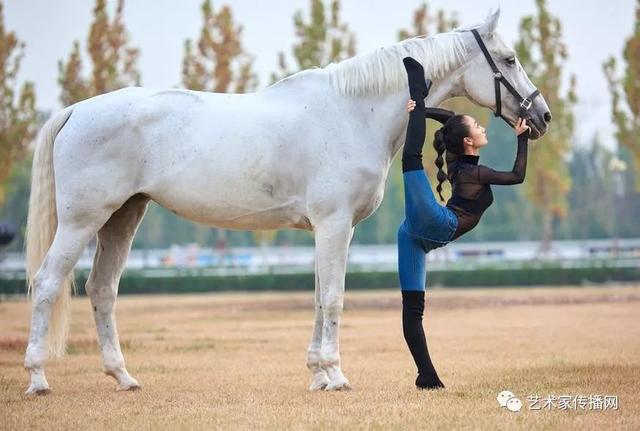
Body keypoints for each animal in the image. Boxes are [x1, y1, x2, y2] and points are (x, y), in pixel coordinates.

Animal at [24, 9, 550, 394]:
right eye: (508, 59)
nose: (541, 116)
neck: (354, 112)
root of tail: (76, 110)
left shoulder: (329, 229)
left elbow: (318, 296)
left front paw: (318, 375)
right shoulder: (335, 224)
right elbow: (334, 297)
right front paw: (336, 376)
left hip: (123, 216)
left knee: (102, 290)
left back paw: (124, 377)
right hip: (82, 220)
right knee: (48, 283)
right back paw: (38, 379)